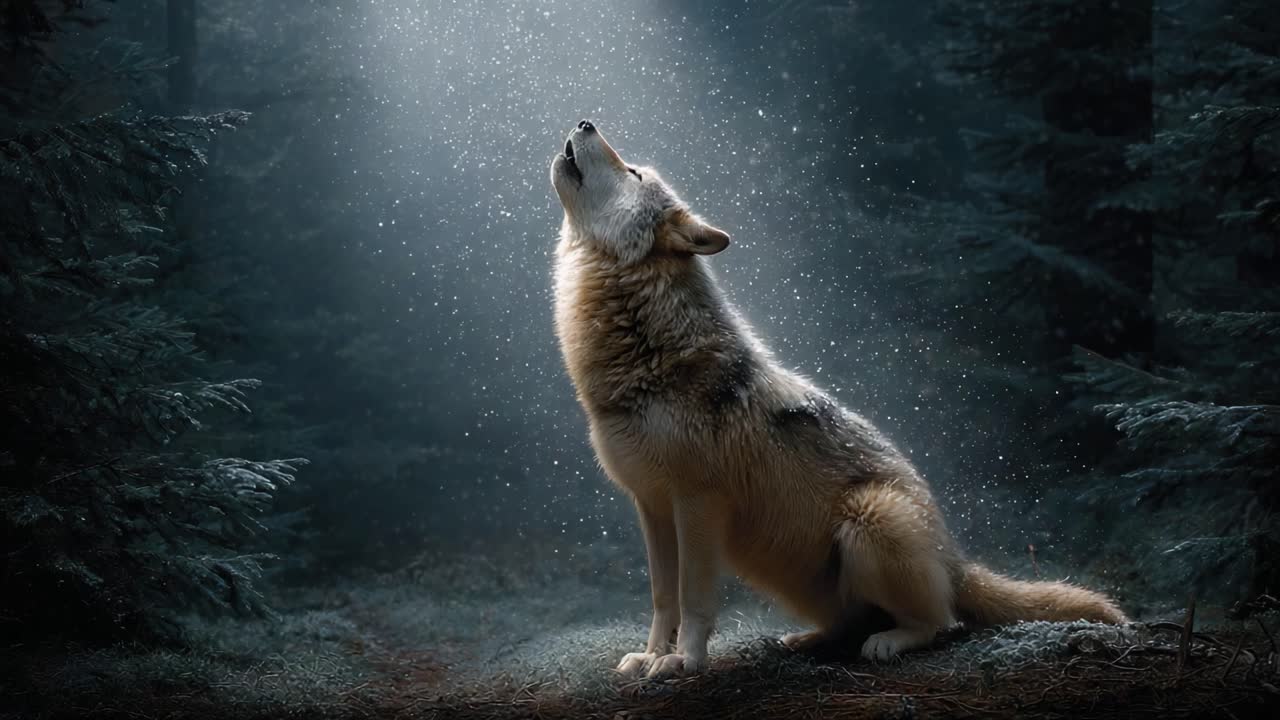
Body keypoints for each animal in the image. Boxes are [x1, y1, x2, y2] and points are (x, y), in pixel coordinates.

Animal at [549, 120, 1127, 680]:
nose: (585, 122)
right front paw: (649, 657)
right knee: (856, 624)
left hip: (869, 520)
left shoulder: (697, 505)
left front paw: (683, 661)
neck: (647, 347)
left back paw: (888, 641)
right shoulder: (651, 507)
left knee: (942, 623)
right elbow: (662, 598)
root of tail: (954, 557)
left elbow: (693, 600)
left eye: (634, 173)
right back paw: (807, 640)